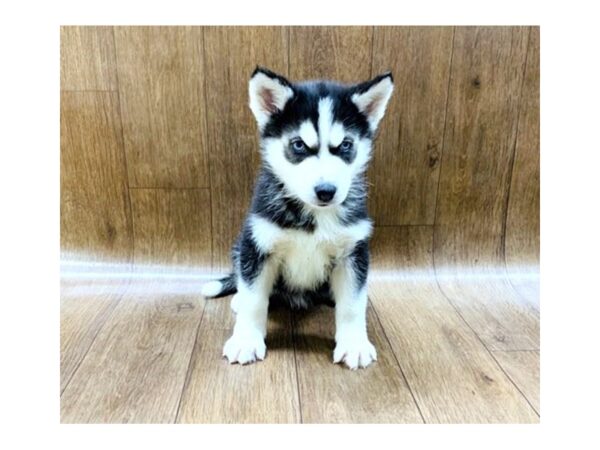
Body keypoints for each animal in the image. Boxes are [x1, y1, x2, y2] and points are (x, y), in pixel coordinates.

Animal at [202, 67, 394, 370]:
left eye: (346, 144)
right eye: (299, 145)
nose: (326, 191)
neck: (313, 216)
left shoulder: (354, 251)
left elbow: (353, 304)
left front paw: (354, 344)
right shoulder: (258, 245)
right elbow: (254, 299)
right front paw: (246, 340)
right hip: (241, 243)